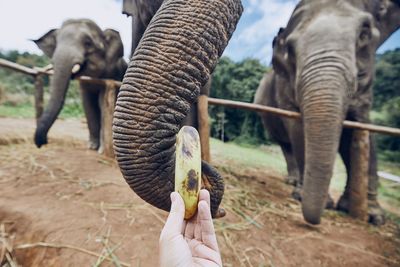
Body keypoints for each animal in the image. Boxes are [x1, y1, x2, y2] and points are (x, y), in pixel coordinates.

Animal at [35, 18, 128, 151]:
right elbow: (87, 104)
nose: (43, 143)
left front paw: (100, 149)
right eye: (56, 44)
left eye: (88, 43)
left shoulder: (112, 75)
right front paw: (92, 147)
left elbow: (101, 102)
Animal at [255, 0, 398, 226]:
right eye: (290, 49)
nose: (315, 220)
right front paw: (313, 200)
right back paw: (293, 183)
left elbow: (361, 127)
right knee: (286, 145)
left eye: (364, 34)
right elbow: (297, 128)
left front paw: (373, 216)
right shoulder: (284, 86)